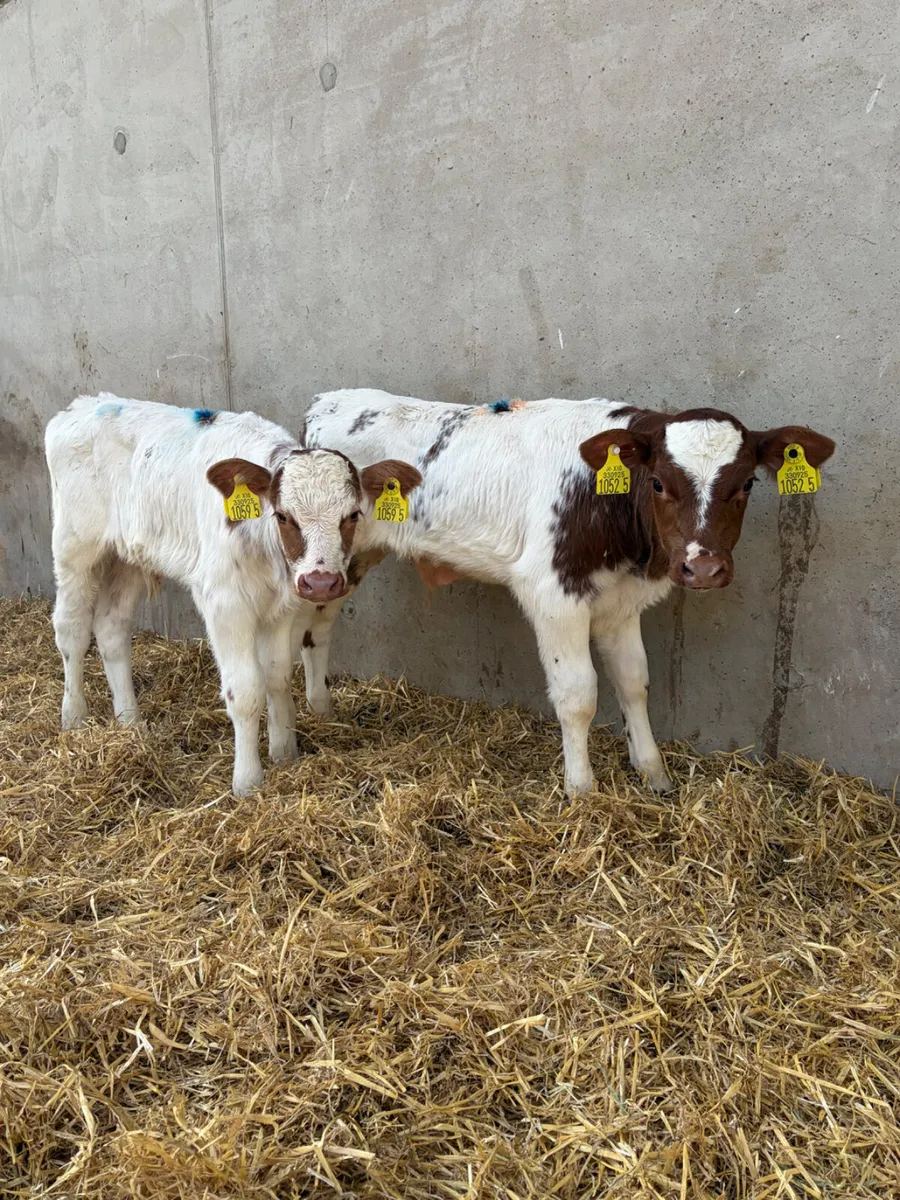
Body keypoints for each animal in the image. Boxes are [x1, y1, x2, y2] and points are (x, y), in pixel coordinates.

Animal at [44, 394, 420, 795]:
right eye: (283, 516)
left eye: (351, 515)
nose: (320, 583)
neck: (265, 546)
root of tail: (84, 405)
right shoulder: (225, 605)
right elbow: (246, 690)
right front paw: (248, 780)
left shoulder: (285, 607)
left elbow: (277, 676)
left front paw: (284, 753)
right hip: (74, 547)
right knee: (71, 630)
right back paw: (74, 716)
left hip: (127, 556)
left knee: (112, 629)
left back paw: (130, 721)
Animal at [303, 389, 835, 797]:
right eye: (658, 483)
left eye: (747, 484)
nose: (702, 568)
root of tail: (328, 400)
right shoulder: (553, 594)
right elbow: (579, 694)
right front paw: (581, 788)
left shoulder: (621, 602)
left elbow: (634, 682)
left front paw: (653, 773)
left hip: (345, 563)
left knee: (318, 627)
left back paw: (321, 710)